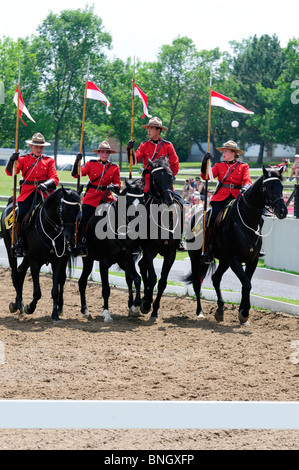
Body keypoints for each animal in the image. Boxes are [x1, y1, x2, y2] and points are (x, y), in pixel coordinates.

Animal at [0, 187, 81, 324]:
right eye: (63, 210)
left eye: (77, 211)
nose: (69, 237)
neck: (50, 230)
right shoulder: (35, 262)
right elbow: (37, 292)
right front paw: (29, 308)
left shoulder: (58, 261)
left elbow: (55, 290)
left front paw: (55, 314)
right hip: (11, 251)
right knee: (15, 275)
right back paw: (20, 307)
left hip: (27, 257)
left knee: (21, 272)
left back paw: (17, 305)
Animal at [77, 184, 143, 324]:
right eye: (128, 202)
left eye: (142, 201)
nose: (137, 228)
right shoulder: (104, 263)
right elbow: (106, 289)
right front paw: (106, 314)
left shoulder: (127, 260)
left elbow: (137, 279)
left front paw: (135, 307)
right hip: (88, 259)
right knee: (82, 282)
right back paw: (85, 310)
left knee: (82, 282)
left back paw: (85, 311)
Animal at [188, 167, 288, 324]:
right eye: (269, 187)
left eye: (281, 187)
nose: (283, 211)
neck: (246, 220)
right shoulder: (233, 258)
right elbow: (246, 284)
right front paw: (244, 313)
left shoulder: (252, 260)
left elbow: (246, 284)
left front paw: (243, 312)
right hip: (197, 259)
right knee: (197, 283)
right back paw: (200, 312)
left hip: (223, 261)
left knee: (215, 278)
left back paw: (220, 310)